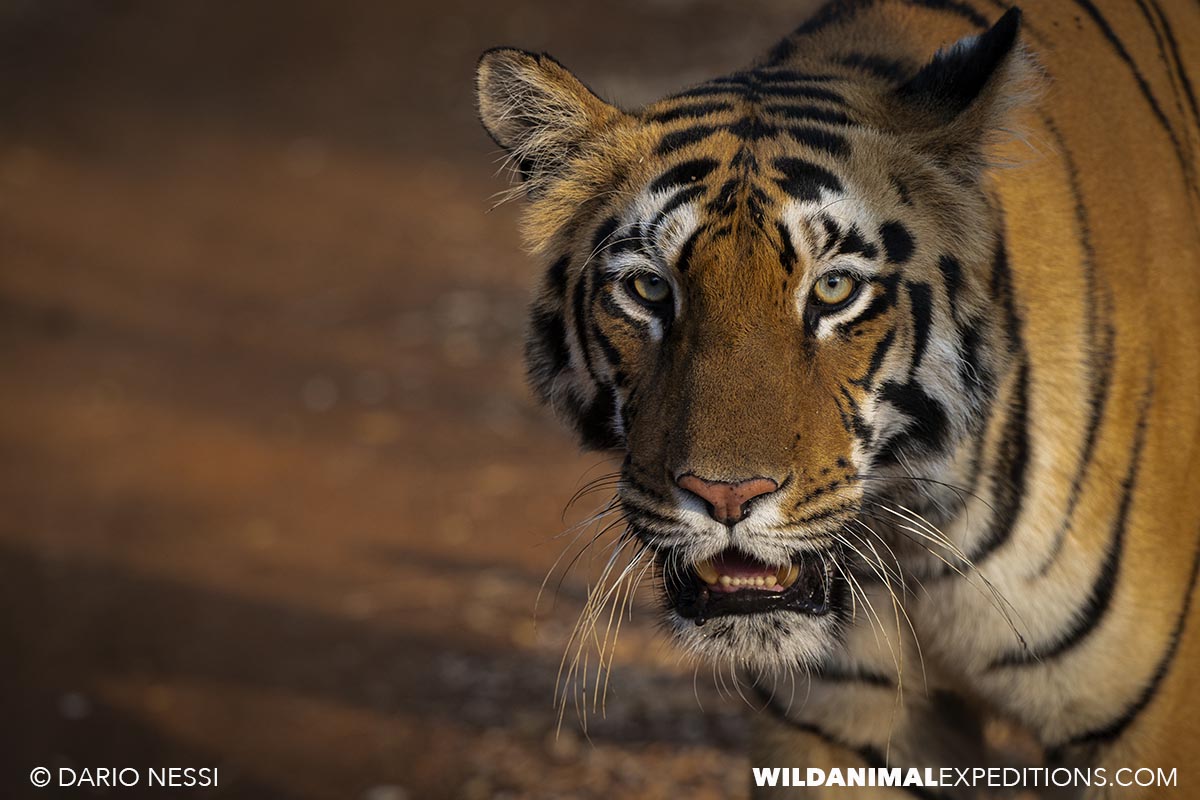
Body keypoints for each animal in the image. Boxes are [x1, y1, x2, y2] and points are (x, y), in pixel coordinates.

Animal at [475, 0, 1200, 796]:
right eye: (649, 289)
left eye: (833, 289)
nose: (726, 497)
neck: (909, 535)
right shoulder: (837, 726)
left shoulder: (1151, 724)